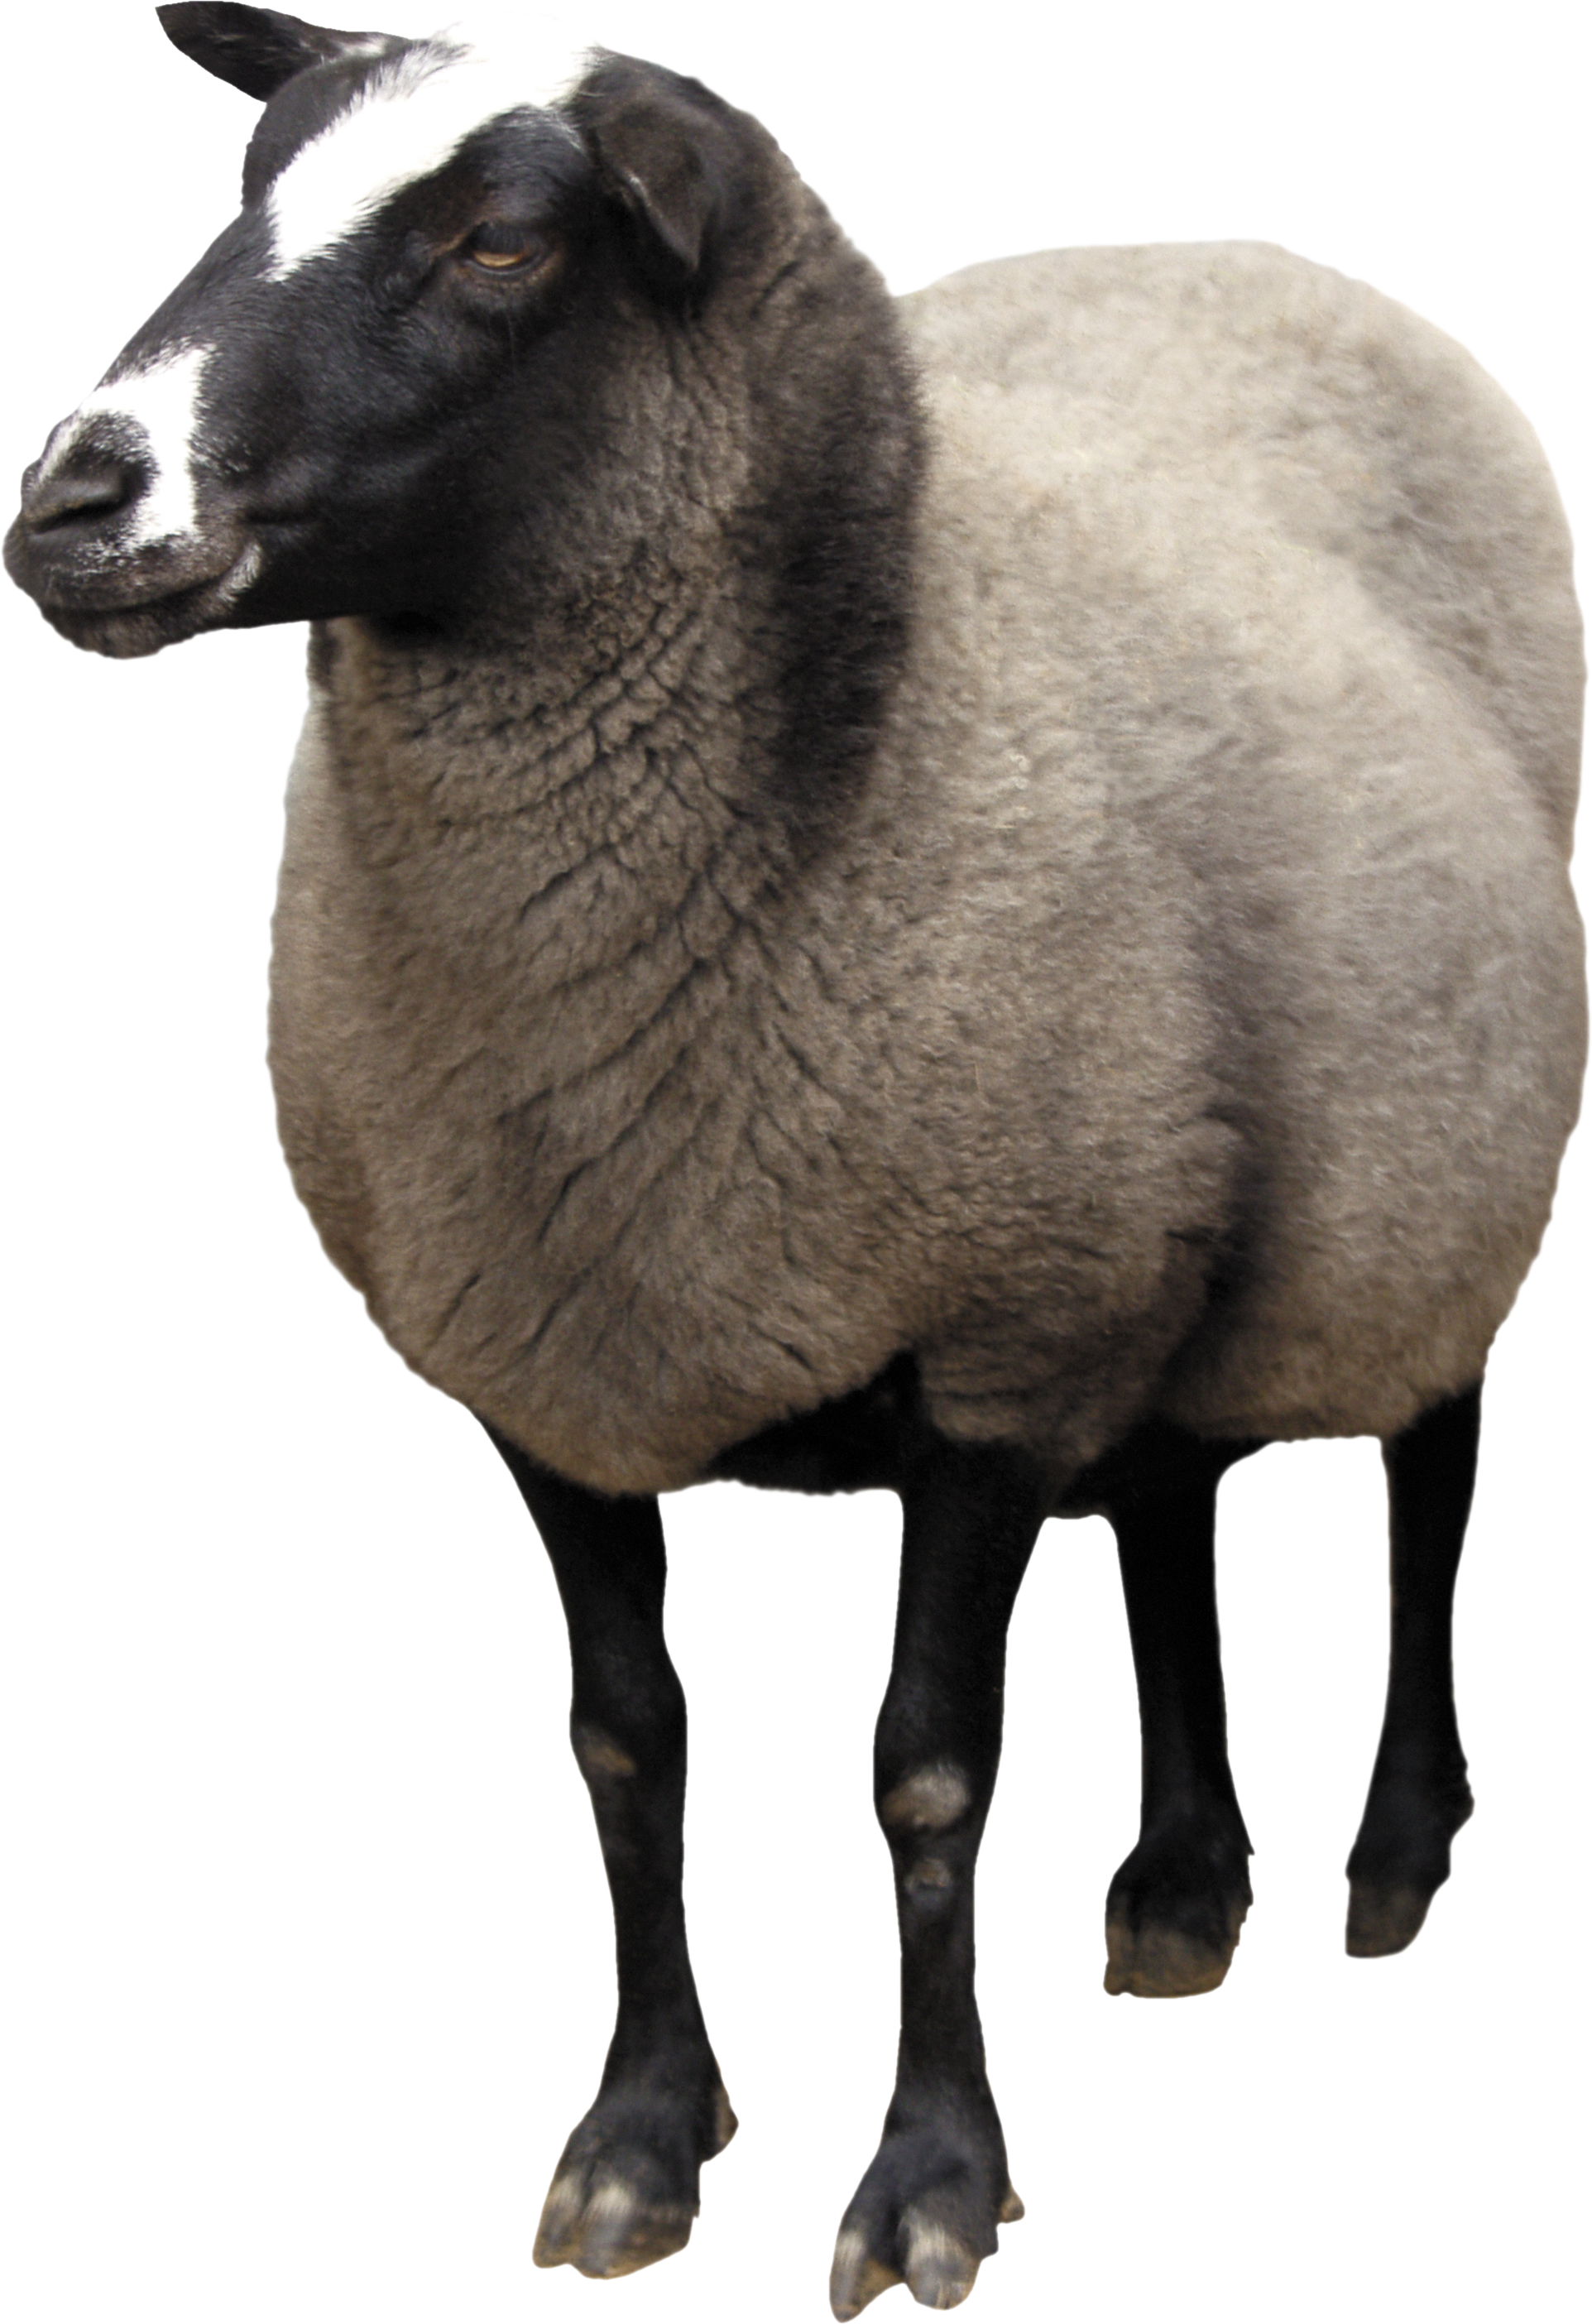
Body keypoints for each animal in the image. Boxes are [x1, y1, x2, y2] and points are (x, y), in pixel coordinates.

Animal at [4, 7, 1584, 2318]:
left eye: (501, 241)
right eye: (246, 187)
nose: (73, 498)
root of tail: (1244, 248)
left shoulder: (993, 1351)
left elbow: (925, 1778)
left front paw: (929, 2180)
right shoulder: (554, 1364)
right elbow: (625, 1744)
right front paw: (640, 2141)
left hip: (1402, 1158)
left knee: (1429, 1469)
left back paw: (1391, 1852)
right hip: (1163, 1202)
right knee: (1175, 1501)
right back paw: (1181, 1886)